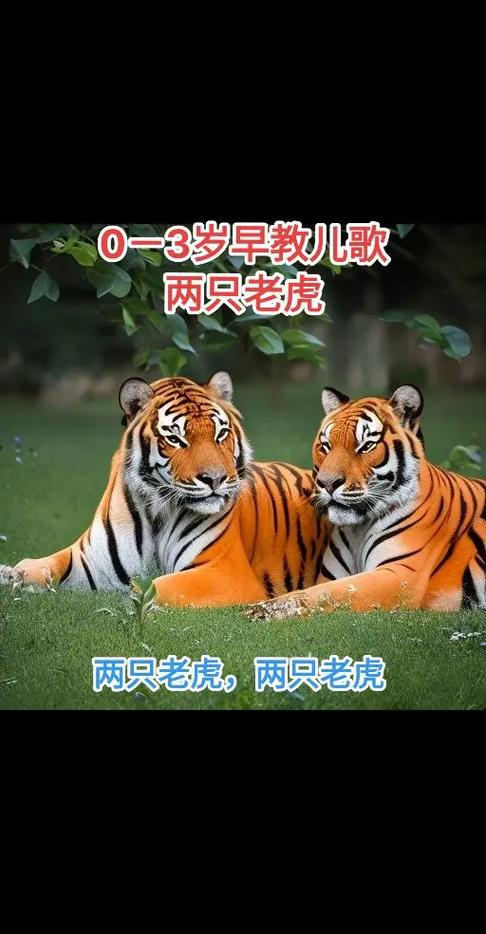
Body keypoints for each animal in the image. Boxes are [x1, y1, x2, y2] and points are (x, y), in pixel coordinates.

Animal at [4, 372, 329, 607]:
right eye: (175, 438)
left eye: (220, 434)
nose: (215, 479)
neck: (156, 512)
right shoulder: (89, 560)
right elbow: (46, 563)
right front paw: (13, 575)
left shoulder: (224, 572)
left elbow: (157, 585)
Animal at [248, 383, 486, 620]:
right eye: (326, 446)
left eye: (366, 446)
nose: (327, 483)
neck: (358, 530)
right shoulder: (332, 574)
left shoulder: (400, 573)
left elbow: (331, 592)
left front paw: (265, 609)